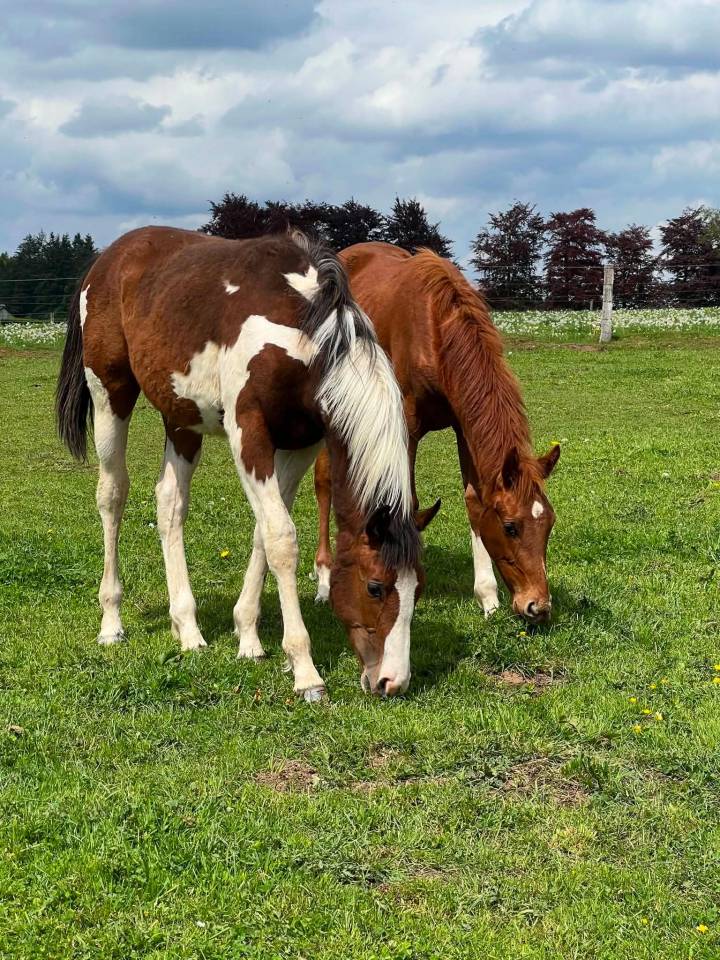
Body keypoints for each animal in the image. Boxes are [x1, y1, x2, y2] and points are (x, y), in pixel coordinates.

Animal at [56, 227, 435, 700]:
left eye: (418, 586)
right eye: (376, 587)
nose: (392, 682)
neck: (306, 332)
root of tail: (107, 259)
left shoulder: (300, 444)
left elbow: (265, 533)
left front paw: (248, 638)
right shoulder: (248, 434)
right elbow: (282, 539)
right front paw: (305, 670)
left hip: (181, 418)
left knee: (169, 504)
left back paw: (187, 629)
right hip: (111, 394)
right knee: (112, 496)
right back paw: (112, 623)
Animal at [313, 242, 560, 623]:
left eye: (549, 524)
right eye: (511, 527)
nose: (537, 606)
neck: (436, 325)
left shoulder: (463, 424)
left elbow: (474, 500)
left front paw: (487, 596)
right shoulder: (408, 424)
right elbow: (410, 501)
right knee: (324, 480)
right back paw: (325, 578)